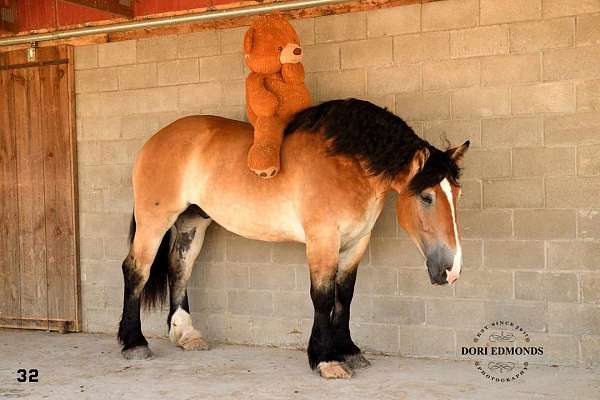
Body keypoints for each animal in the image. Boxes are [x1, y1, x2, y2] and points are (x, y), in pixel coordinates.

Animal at [117, 98, 472, 380]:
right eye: (426, 197)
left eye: (456, 193)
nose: (451, 270)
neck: (347, 165)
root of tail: (154, 140)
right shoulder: (323, 240)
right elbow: (323, 298)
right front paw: (325, 359)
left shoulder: (356, 243)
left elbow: (345, 296)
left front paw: (349, 350)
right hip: (154, 221)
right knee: (136, 270)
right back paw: (134, 343)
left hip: (194, 222)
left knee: (180, 267)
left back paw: (186, 334)